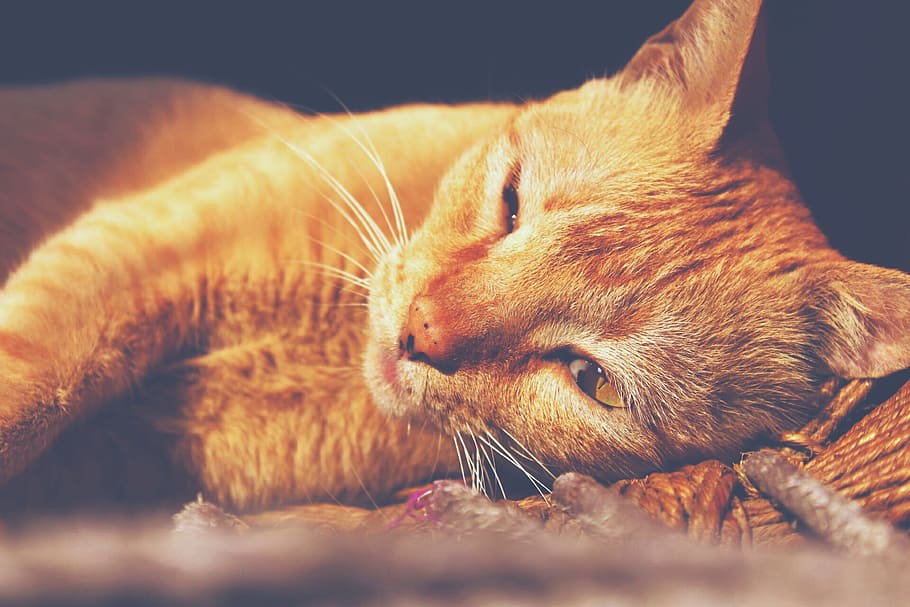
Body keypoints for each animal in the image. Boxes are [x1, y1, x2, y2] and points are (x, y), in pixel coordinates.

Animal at [1, 0, 910, 516]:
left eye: (592, 379)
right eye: (510, 203)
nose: (419, 332)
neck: (325, 350)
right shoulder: (142, 242)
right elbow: (38, 381)